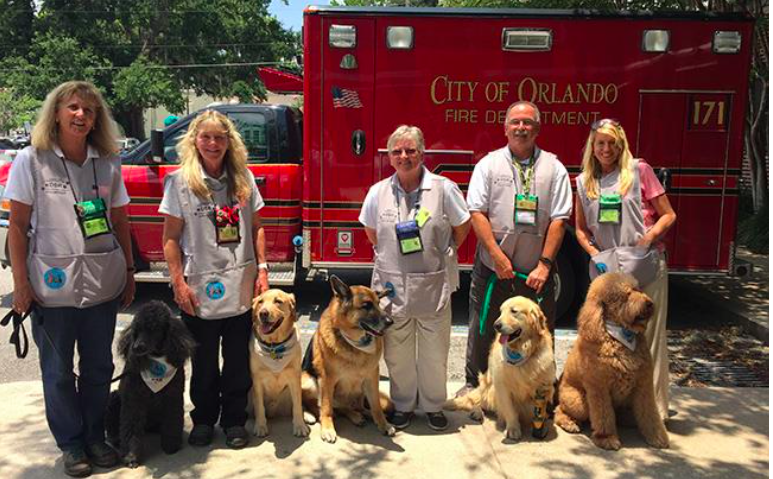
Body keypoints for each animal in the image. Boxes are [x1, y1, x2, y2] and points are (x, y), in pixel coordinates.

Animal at [247, 288, 308, 438]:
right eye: (260, 302)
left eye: (278, 301)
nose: (263, 313)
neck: (274, 345)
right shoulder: (257, 380)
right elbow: (259, 407)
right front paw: (260, 426)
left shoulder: (295, 377)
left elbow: (297, 406)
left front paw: (300, 426)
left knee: (299, 405)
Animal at [302, 276, 396, 444]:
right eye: (366, 306)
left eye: (378, 303)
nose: (391, 321)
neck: (354, 342)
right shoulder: (327, 378)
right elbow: (326, 408)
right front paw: (327, 429)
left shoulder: (372, 376)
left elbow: (376, 405)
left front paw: (383, 424)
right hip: (308, 379)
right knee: (316, 405)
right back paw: (309, 415)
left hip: (360, 391)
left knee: (351, 408)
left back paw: (360, 415)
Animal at [446, 296, 556, 442]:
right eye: (501, 311)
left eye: (514, 311)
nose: (496, 325)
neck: (521, 350)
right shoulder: (502, 386)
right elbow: (509, 410)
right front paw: (513, 429)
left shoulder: (543, 386)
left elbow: (539, 409)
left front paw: (540, 427)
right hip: (489, 387)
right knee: (480, 401)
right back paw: (477, 412)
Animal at [556, 274, 668, 450]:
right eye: (626, 294)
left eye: (637, 289)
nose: (649, 303)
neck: (620, 337)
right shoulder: (599, 389)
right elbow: (603, 416)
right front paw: (606, 438)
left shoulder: (643, 385)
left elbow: (650, 413)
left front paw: (657, 436)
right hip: (579, 402)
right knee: (559, 410)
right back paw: (569, 422)